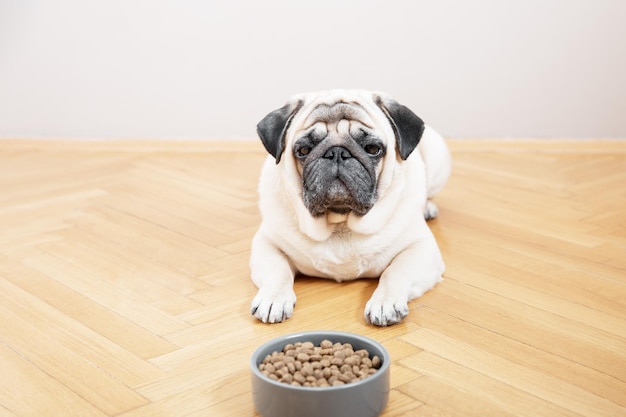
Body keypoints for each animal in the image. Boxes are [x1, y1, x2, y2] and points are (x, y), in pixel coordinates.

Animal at [249, 89, 448, 326]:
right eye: (303, 150)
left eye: (373, 149)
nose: (336, 153)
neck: (340, 222)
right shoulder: (267, 243)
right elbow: (277, 271)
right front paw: (272, 298)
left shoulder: (421, 249)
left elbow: (395, 272)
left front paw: (385, 302)